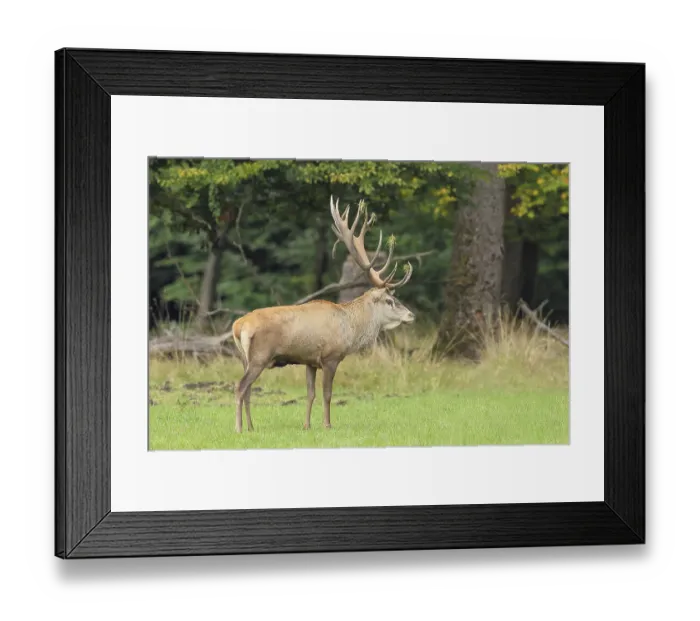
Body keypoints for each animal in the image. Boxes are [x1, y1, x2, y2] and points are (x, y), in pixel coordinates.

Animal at [231, 196, 416, 433]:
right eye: (390, 301)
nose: (410, 315)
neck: (351, 329)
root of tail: (238, 326)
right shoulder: (331, 356)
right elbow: (327, 394)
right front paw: (327, 424)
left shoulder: (309, 361)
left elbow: (310, 394)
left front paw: (306, 425)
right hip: (260, 356)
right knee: (240, 386)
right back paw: (238, 428)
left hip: (245, 358)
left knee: (248, 390)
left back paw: (251, 427)